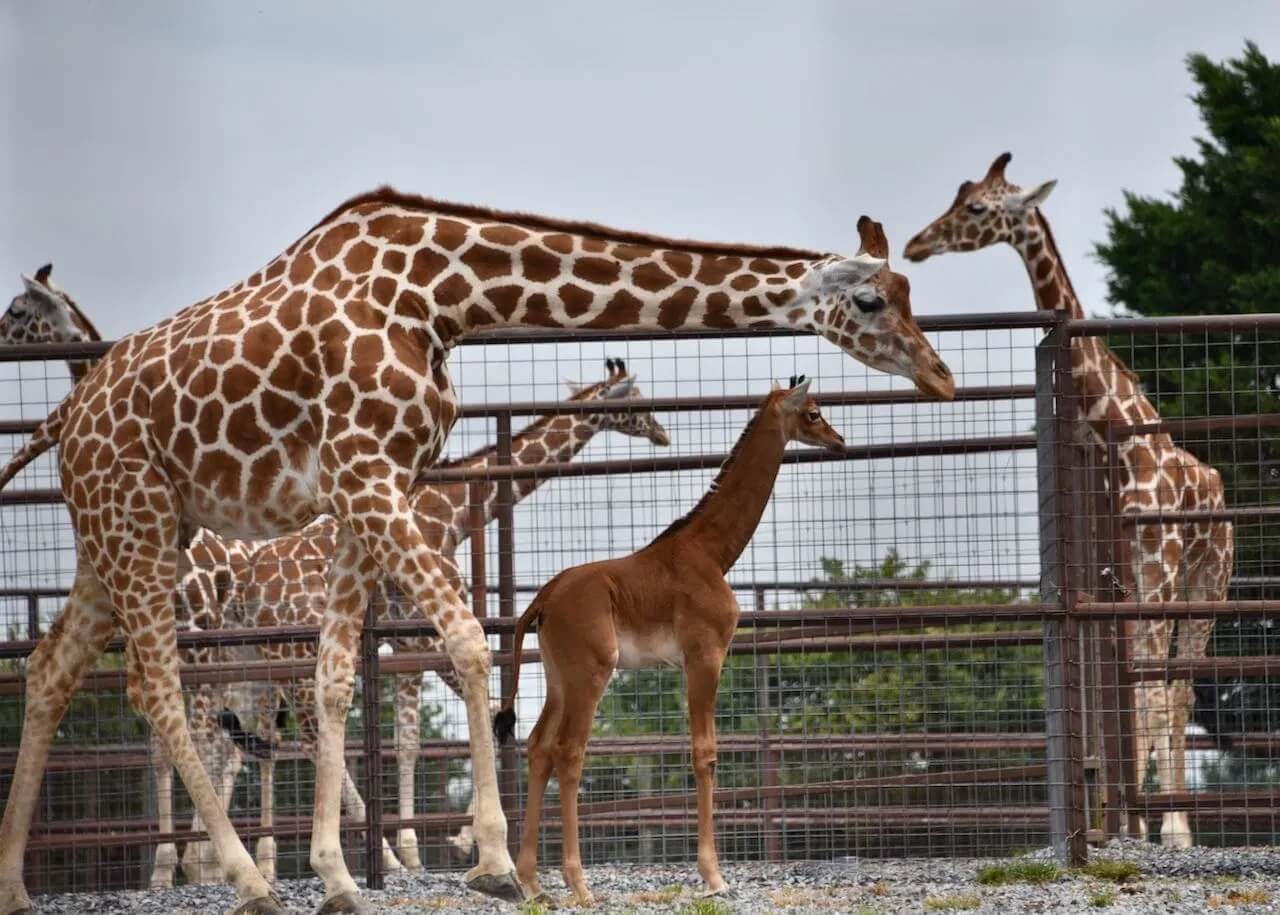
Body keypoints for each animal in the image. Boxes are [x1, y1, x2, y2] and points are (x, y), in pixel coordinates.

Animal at [215, 360, 669, 882]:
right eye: (635, 398)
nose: (662, 432)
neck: (450, 514)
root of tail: (246, 589)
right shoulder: (420, 640)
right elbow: (453, 725)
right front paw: (440, 845)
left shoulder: (407, 646)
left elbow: (424, 734)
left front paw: (446, 841)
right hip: (293, 654)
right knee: (302, 741)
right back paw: (364, 859)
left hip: (263, 662)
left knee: (250, 742)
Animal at [495, 375, 845, 906]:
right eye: (812, 413)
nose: (839, 440)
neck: (712, 551)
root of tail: (542, 600)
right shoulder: (705, 654)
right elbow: (705, 753)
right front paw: (714, 876)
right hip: (591, 672)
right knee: (569, 753)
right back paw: (580, 884)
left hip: (558, 675)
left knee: (538, 748)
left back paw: (533, 882)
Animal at [904, 152, 1234, 847]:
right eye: (959, 195)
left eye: (978, 207)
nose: (916, 244)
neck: (1121, 436)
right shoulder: (1115, 580)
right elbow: (1121, 695)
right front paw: (1127, 821)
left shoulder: (1158, 572)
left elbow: (1151, 696)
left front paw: (1161, 829)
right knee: (1161, 688)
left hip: (1207, 584)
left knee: (1180, 689)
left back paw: (1179, 826)